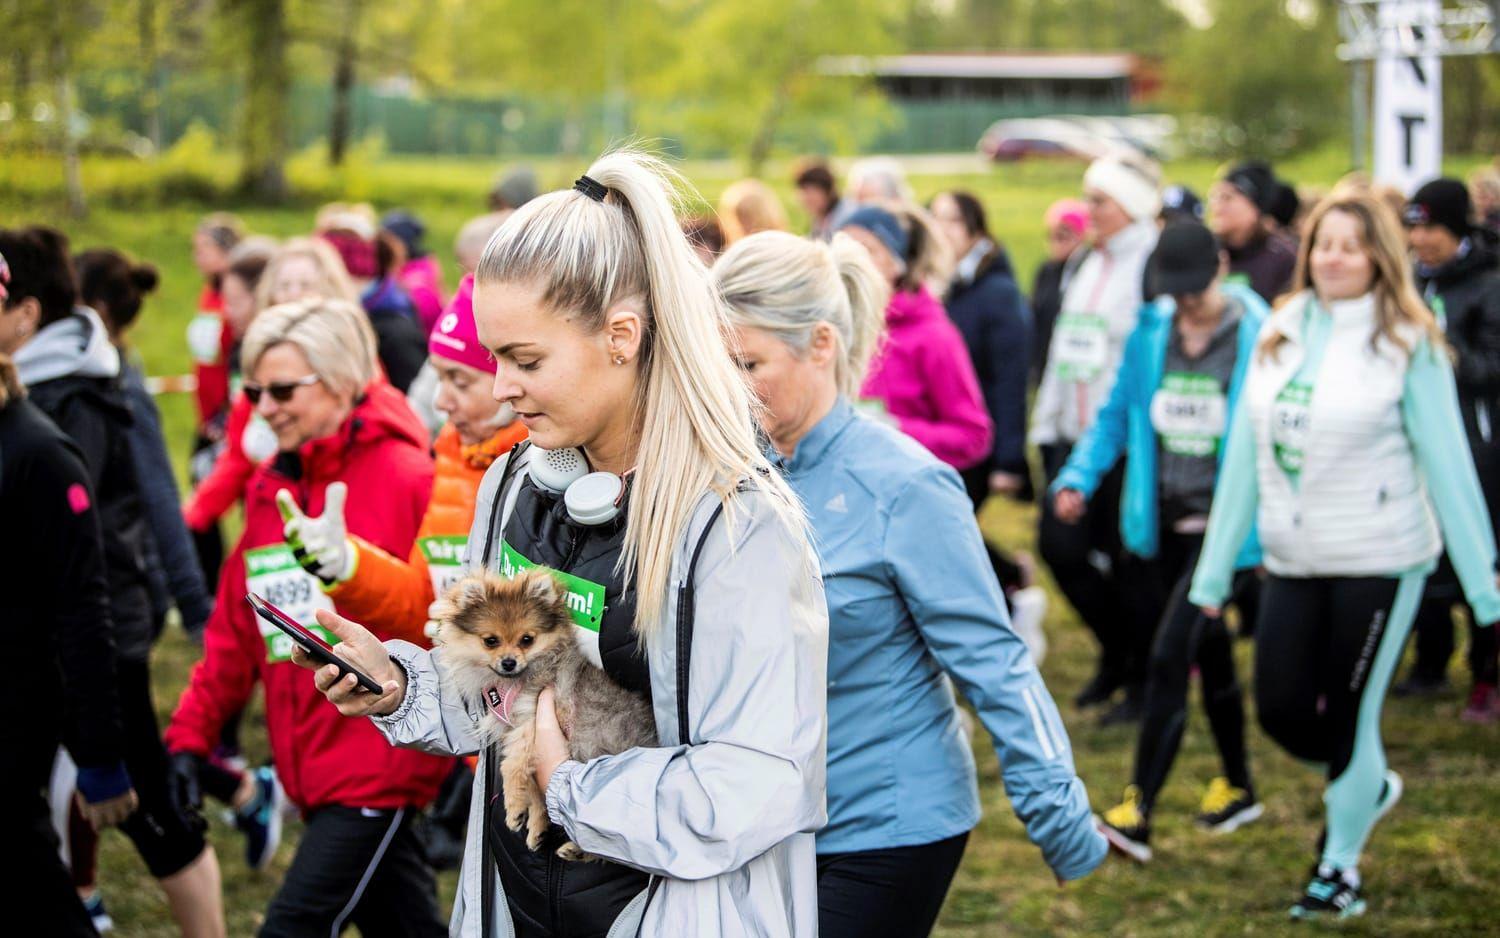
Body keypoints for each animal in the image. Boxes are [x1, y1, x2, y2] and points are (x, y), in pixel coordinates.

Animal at [429, 567, 651, 858]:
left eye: (527, 640)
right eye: (491, 641)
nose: (509, 662)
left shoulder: (530, 722)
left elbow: (511, 766)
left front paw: (514, 806)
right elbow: (536, 789)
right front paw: (536, 824)